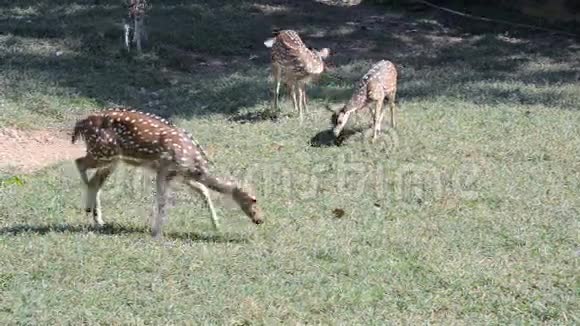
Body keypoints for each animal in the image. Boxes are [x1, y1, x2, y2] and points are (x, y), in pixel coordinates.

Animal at [71, 108, 264, 238]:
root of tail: (80, 124)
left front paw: (216, 225)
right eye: (254, 199)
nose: (260, 219)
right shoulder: (164, 169)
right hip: (103, 151)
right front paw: (156, 232)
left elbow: (203, 191)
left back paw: (98, 220)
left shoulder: (181, 175)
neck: (194, 164)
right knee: (80, 163)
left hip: (112, 158)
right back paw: (88, 207)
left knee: (96, 180)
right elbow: (162, 200)